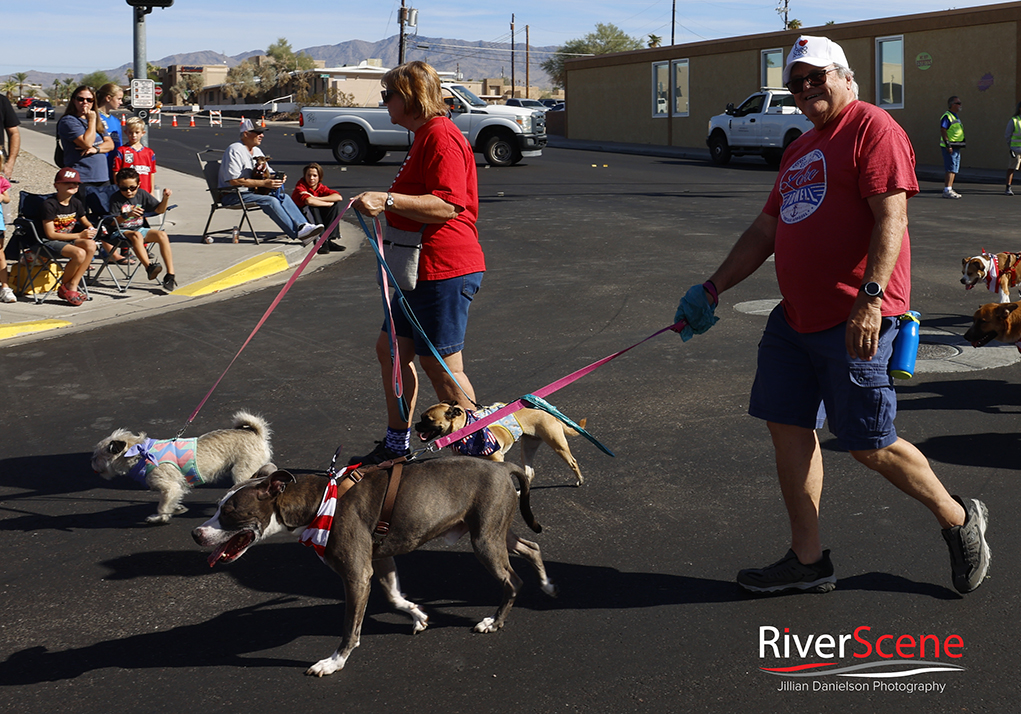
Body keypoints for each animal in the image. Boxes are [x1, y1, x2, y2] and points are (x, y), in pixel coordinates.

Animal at [191, 455, 559, 678]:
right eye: (217, 506)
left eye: (230, 513)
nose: (196, 534)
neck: (322, 502)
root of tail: (504, 467)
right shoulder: (380, 560)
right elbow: (395, 597)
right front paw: (418, 615)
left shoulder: (356, 575)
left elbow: (349, 629)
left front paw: (334, 662)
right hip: (494, 532)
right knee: (532, 548)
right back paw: (547, 584)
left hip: (484, 541)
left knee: (512, 581)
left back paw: (494, 622)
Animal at [414, 402, 588, 486]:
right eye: (421, 417)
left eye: (428, 420)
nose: (415, 425)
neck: (466, 429)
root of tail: (546, 408)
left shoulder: (497, 458)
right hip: (528, 448)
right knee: (529, 473)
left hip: (557, 444)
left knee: (572, 462)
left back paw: (580, 479)